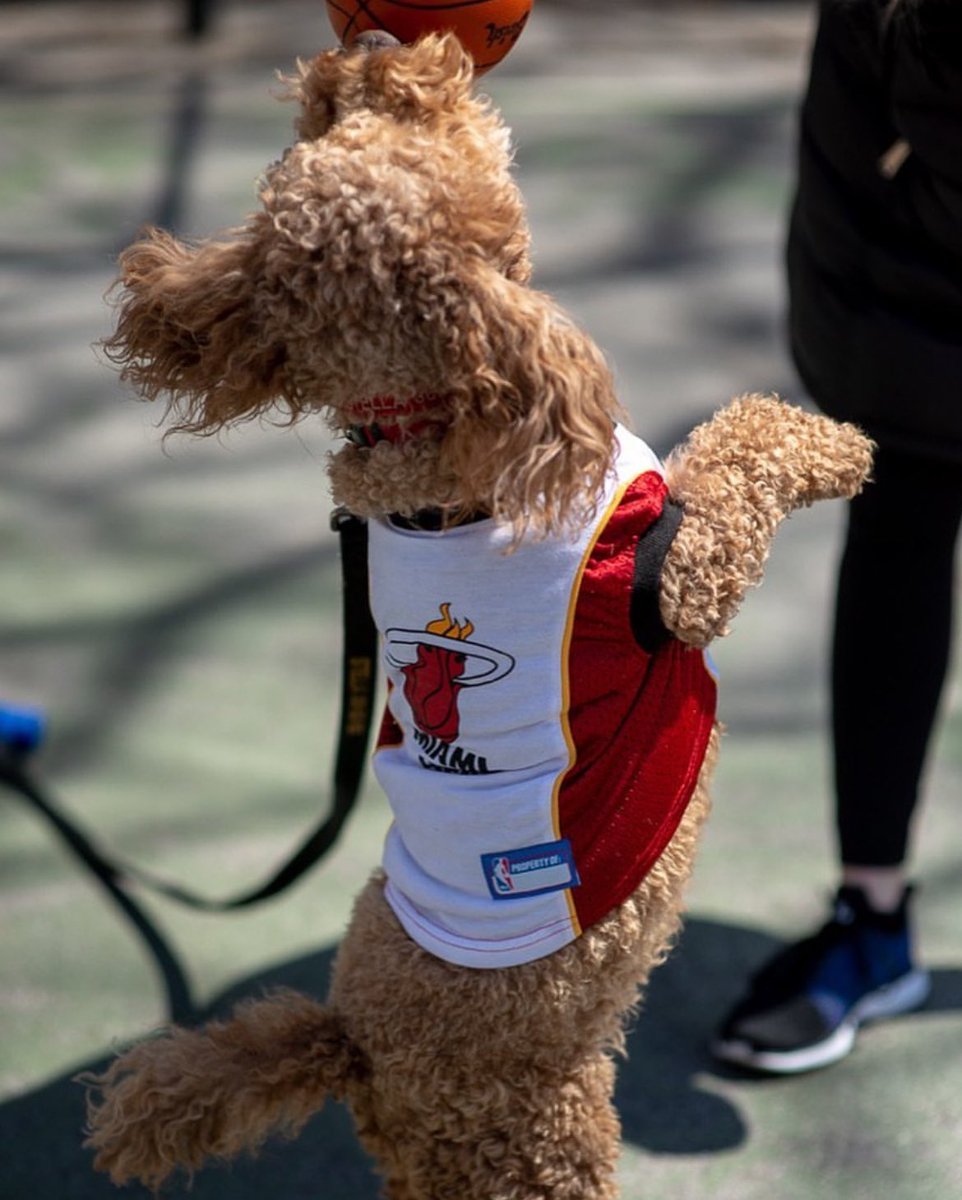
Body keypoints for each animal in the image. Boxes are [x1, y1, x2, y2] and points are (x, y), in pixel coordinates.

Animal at [86, 32, 873, 1200]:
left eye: (368, 125)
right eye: (426, 135)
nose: (378, 46)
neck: (432, 453)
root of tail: (354, 1047)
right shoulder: (683, 579)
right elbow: (742, 447)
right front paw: (838, 440)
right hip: (544, 1138)